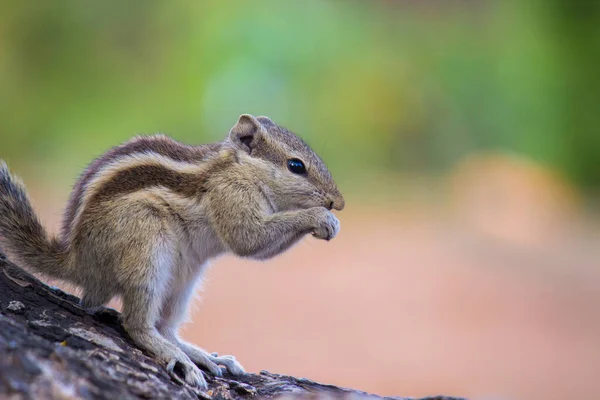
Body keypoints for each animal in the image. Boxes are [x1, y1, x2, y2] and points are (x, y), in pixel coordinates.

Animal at [0, 114, 344, 390]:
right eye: (296, 166)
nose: (337, 202)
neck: (239, 168)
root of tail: (76, 260)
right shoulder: (231, 195)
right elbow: (249, 240)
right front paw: (319, 217)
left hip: (185, 278)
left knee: (165, 325)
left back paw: (202, 355)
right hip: (146, 248)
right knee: (137, 324)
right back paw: (179, 359)